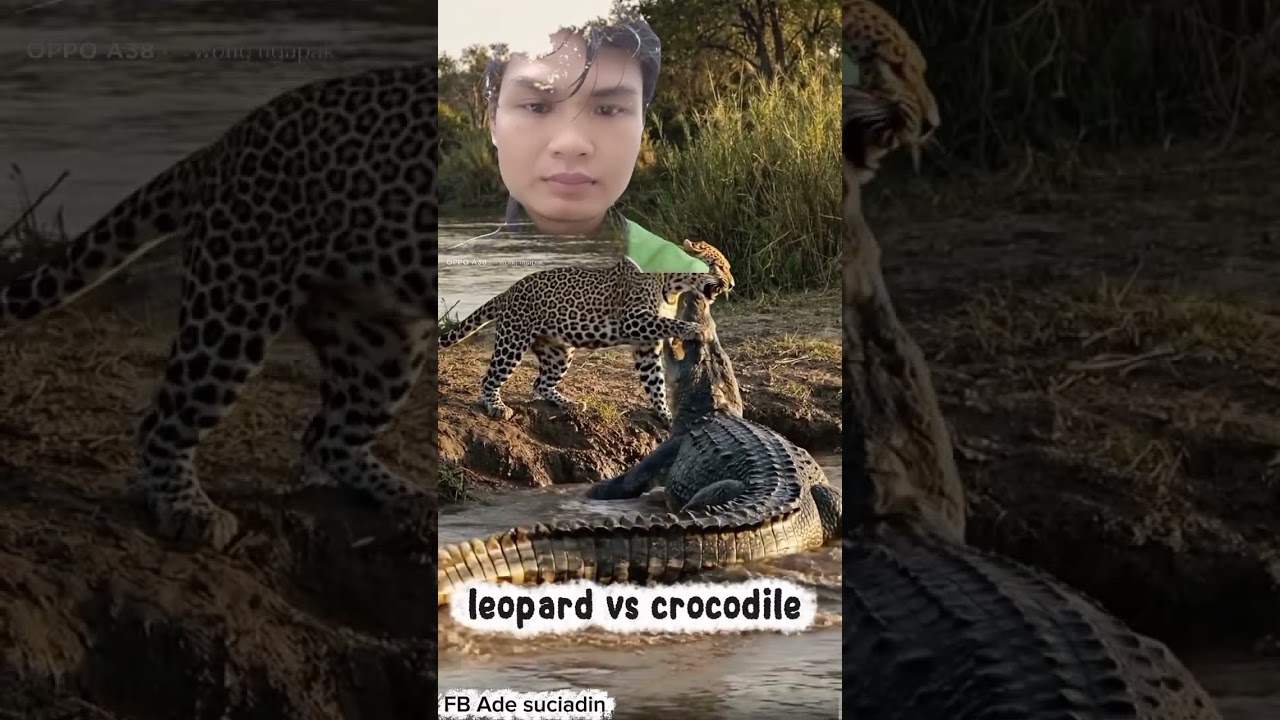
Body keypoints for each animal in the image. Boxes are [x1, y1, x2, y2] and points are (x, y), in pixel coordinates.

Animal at [0, 62, 437, 552]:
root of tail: (220, 148)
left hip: (384, 344)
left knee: (326, 437)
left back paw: (405, 495)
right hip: (233, 307)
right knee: (161, 425)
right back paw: (190, 510)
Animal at [438, 252, 729, 424]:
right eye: (719, 267)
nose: (730, 284)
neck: (672, 285)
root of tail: (509, 291)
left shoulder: (646, 344)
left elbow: (654, 381)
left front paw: (666, 414)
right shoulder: (633, 319)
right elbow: (670, 323)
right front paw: (695, 329)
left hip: (558, 352)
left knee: (539, 383)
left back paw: (570, 403)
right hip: (512, 340)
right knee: (490, 379)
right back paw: (496, 406)